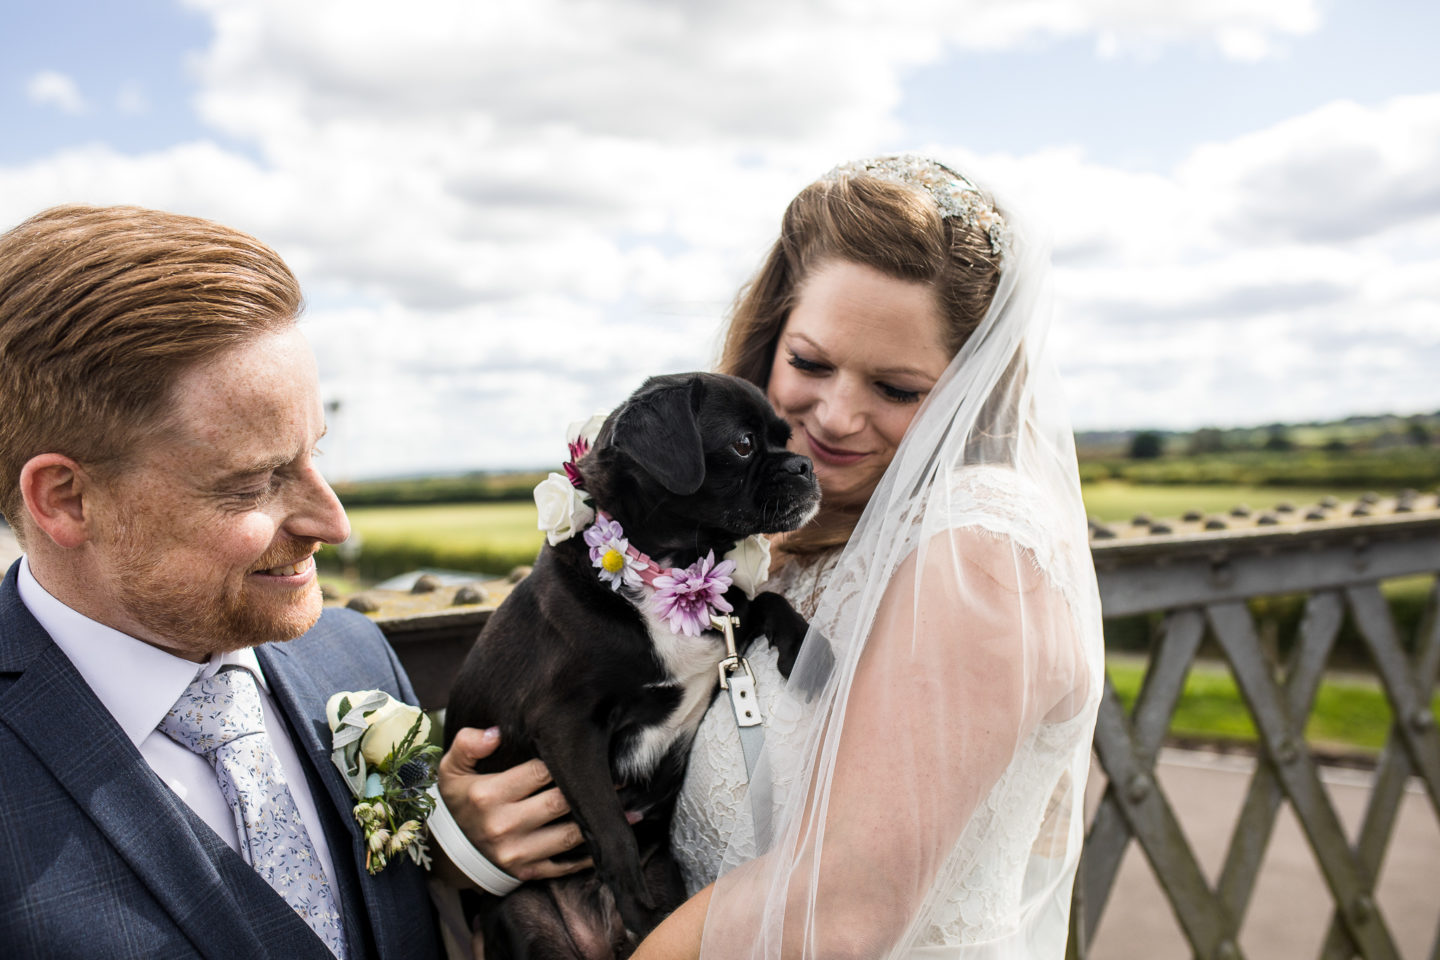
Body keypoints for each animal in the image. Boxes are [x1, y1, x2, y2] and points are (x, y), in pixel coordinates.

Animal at [443, 371, 823, 955]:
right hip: (525, 918)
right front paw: (639, 909)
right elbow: (611, 827)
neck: (665, 570)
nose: (804, 465)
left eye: (787, 438)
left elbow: (766, 600)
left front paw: (805, 645)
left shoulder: (726, 620)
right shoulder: (565, 726)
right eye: (743, 444)